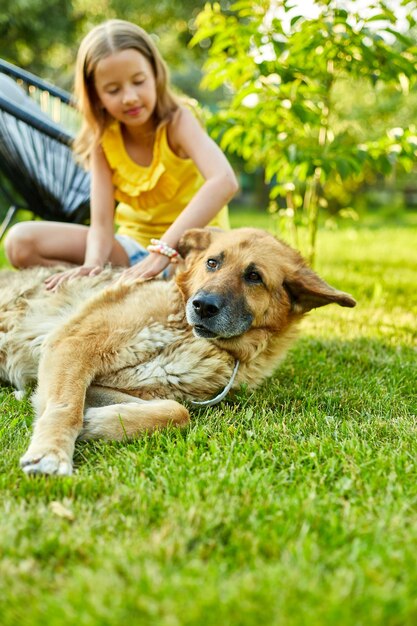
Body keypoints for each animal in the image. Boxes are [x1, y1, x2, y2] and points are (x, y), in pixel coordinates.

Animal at [0, 227, 356, 476]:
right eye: (213, 263)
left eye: (254, 276)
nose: (202, 306)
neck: (186, 337)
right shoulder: (72, 344)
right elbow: (65, 409)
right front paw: (51, 452)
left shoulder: (105, 384)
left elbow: (176, 411)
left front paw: (97, 423)